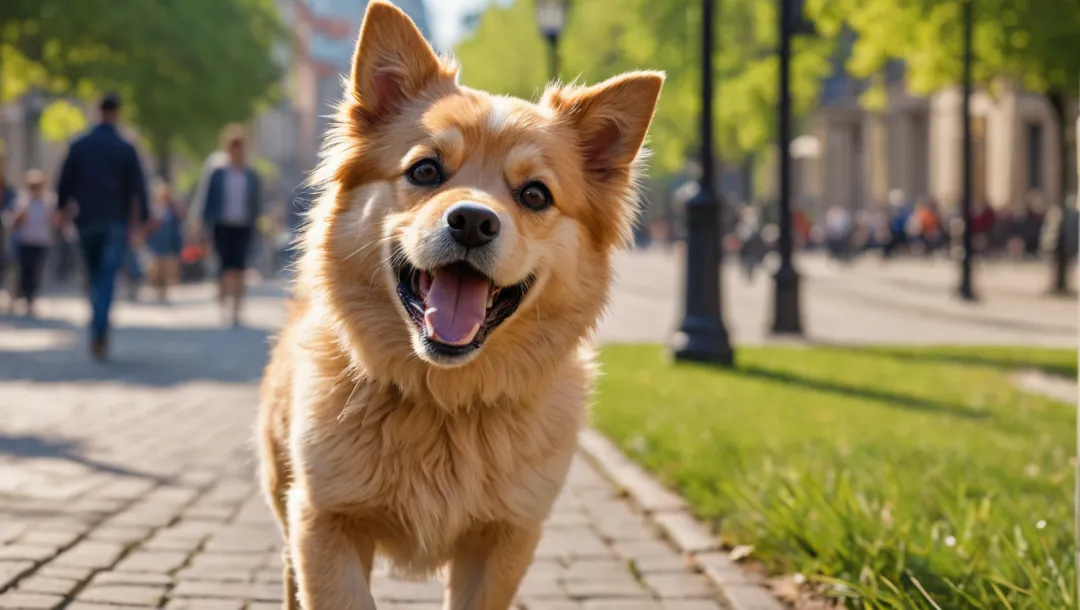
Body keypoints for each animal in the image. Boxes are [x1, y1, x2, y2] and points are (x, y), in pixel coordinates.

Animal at [259, 2, 665, 604]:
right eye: (425, 170)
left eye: (535, 195)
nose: (473, 220)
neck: (444, 401)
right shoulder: (323, 520)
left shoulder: (506, 537)